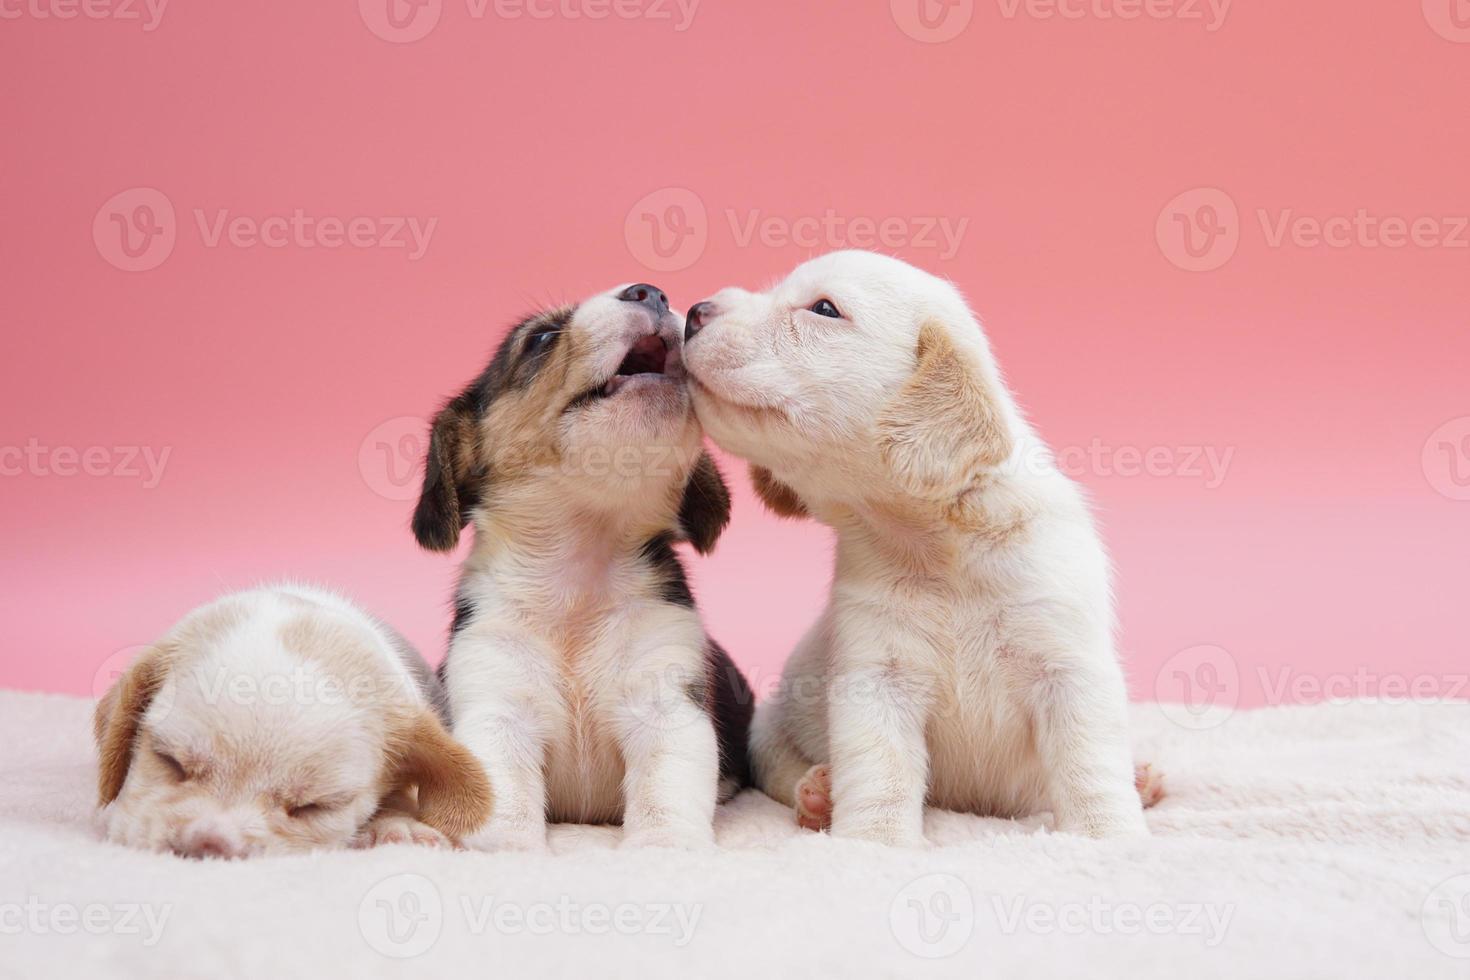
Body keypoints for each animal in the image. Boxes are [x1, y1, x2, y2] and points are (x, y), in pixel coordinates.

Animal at [685, 251, 1158, 846]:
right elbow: (880, 769)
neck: (938, 546)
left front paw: (1106, 835)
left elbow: (1089, 767)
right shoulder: (876, 678)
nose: (693, 313)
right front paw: (877, 841)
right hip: (769, 728)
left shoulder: (1070, 669)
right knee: (781, 767)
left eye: (824, 309)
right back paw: (818, 794)